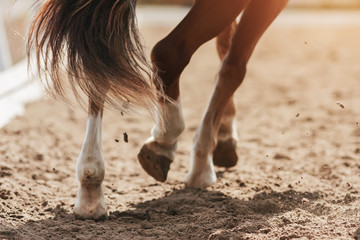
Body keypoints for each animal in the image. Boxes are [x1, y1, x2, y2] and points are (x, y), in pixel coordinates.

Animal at [26, 0, 288, 220]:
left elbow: (224, 47)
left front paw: (223, 134)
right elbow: (233, 65)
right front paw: (201, 160)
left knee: (98, 62)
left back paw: (90, 189)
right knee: (171, 52)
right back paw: (165, 140)